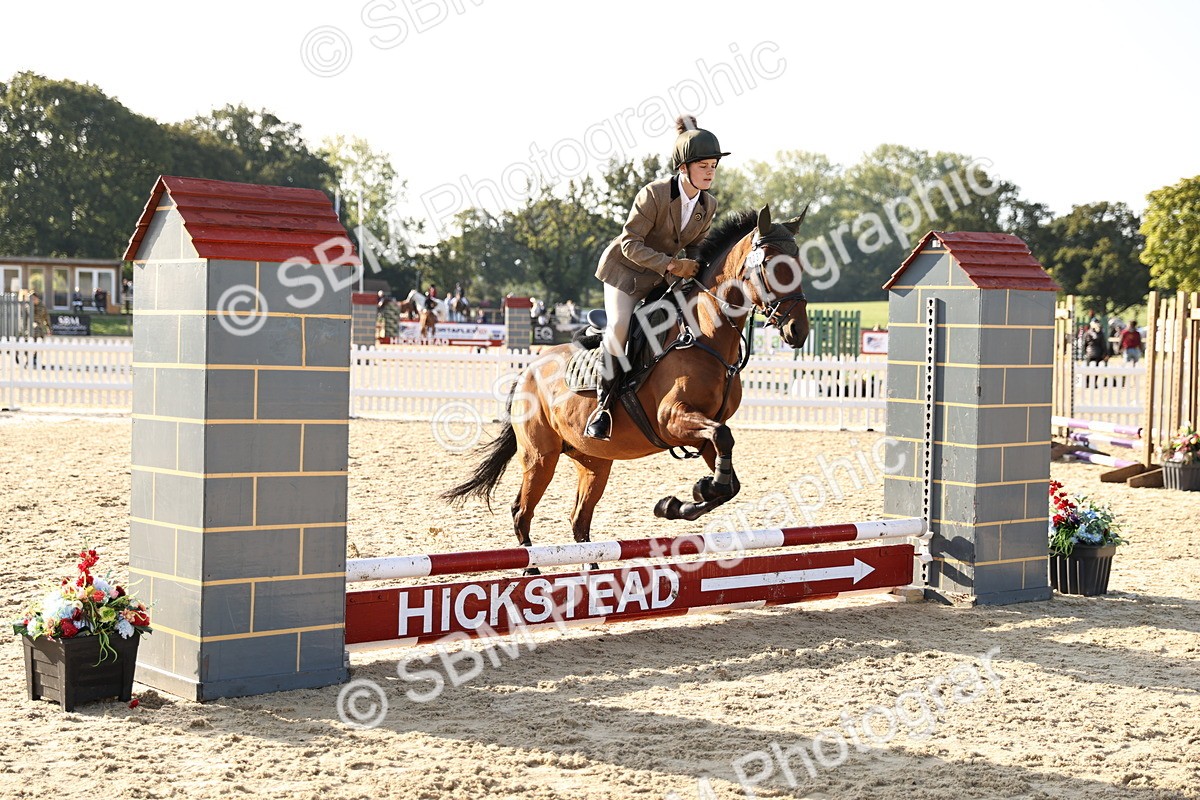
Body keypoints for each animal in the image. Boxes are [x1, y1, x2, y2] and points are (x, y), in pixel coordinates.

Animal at [443, 205, 810, 560]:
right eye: (770, 265)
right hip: (540, 457)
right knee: (522, 512)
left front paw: (681, 500)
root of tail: (529, 369)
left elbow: (728, 476)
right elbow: (723, 440)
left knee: (579, 522)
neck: (704, 336)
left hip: (593, 462)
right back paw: (533, 572)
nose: (798, 331)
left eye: (799, 265)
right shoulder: (672, 419)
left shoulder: (703, 430)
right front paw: (691, 494)